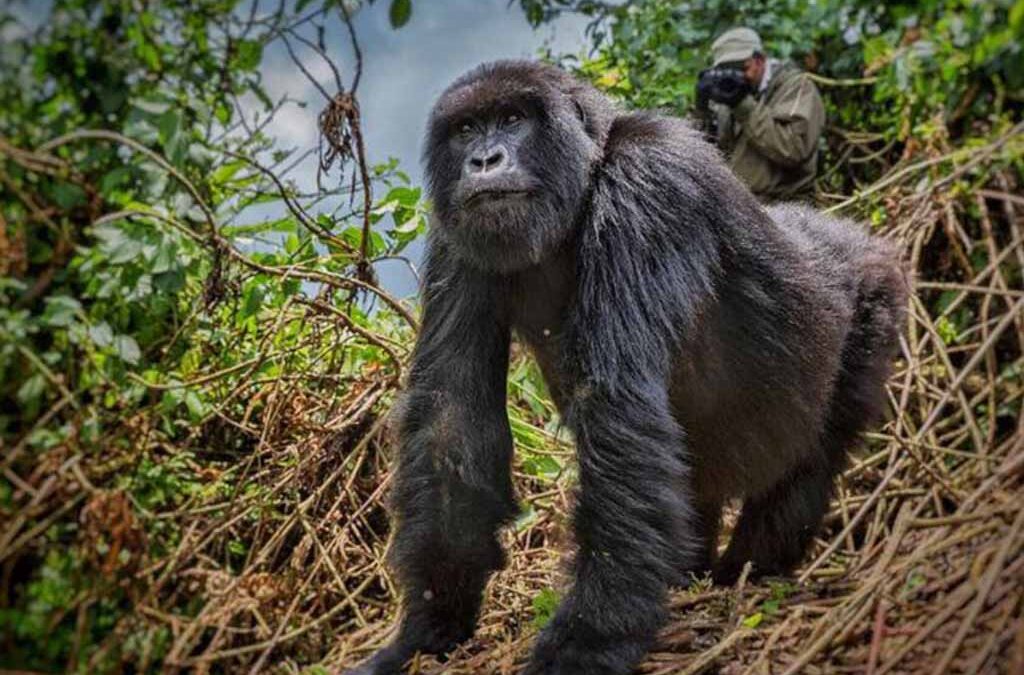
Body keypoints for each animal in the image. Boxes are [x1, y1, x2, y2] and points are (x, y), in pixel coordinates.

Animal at [345, 60, 908, 675]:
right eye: (467, 129)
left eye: (513, 119)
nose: (484, 161)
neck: (585, 176)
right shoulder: (456, 231)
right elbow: (451, 415)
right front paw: (429, 621)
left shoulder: (651, 181)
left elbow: (616, 403)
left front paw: (590, 638)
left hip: (874, 298)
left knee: (810, 460)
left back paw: (750, 571)